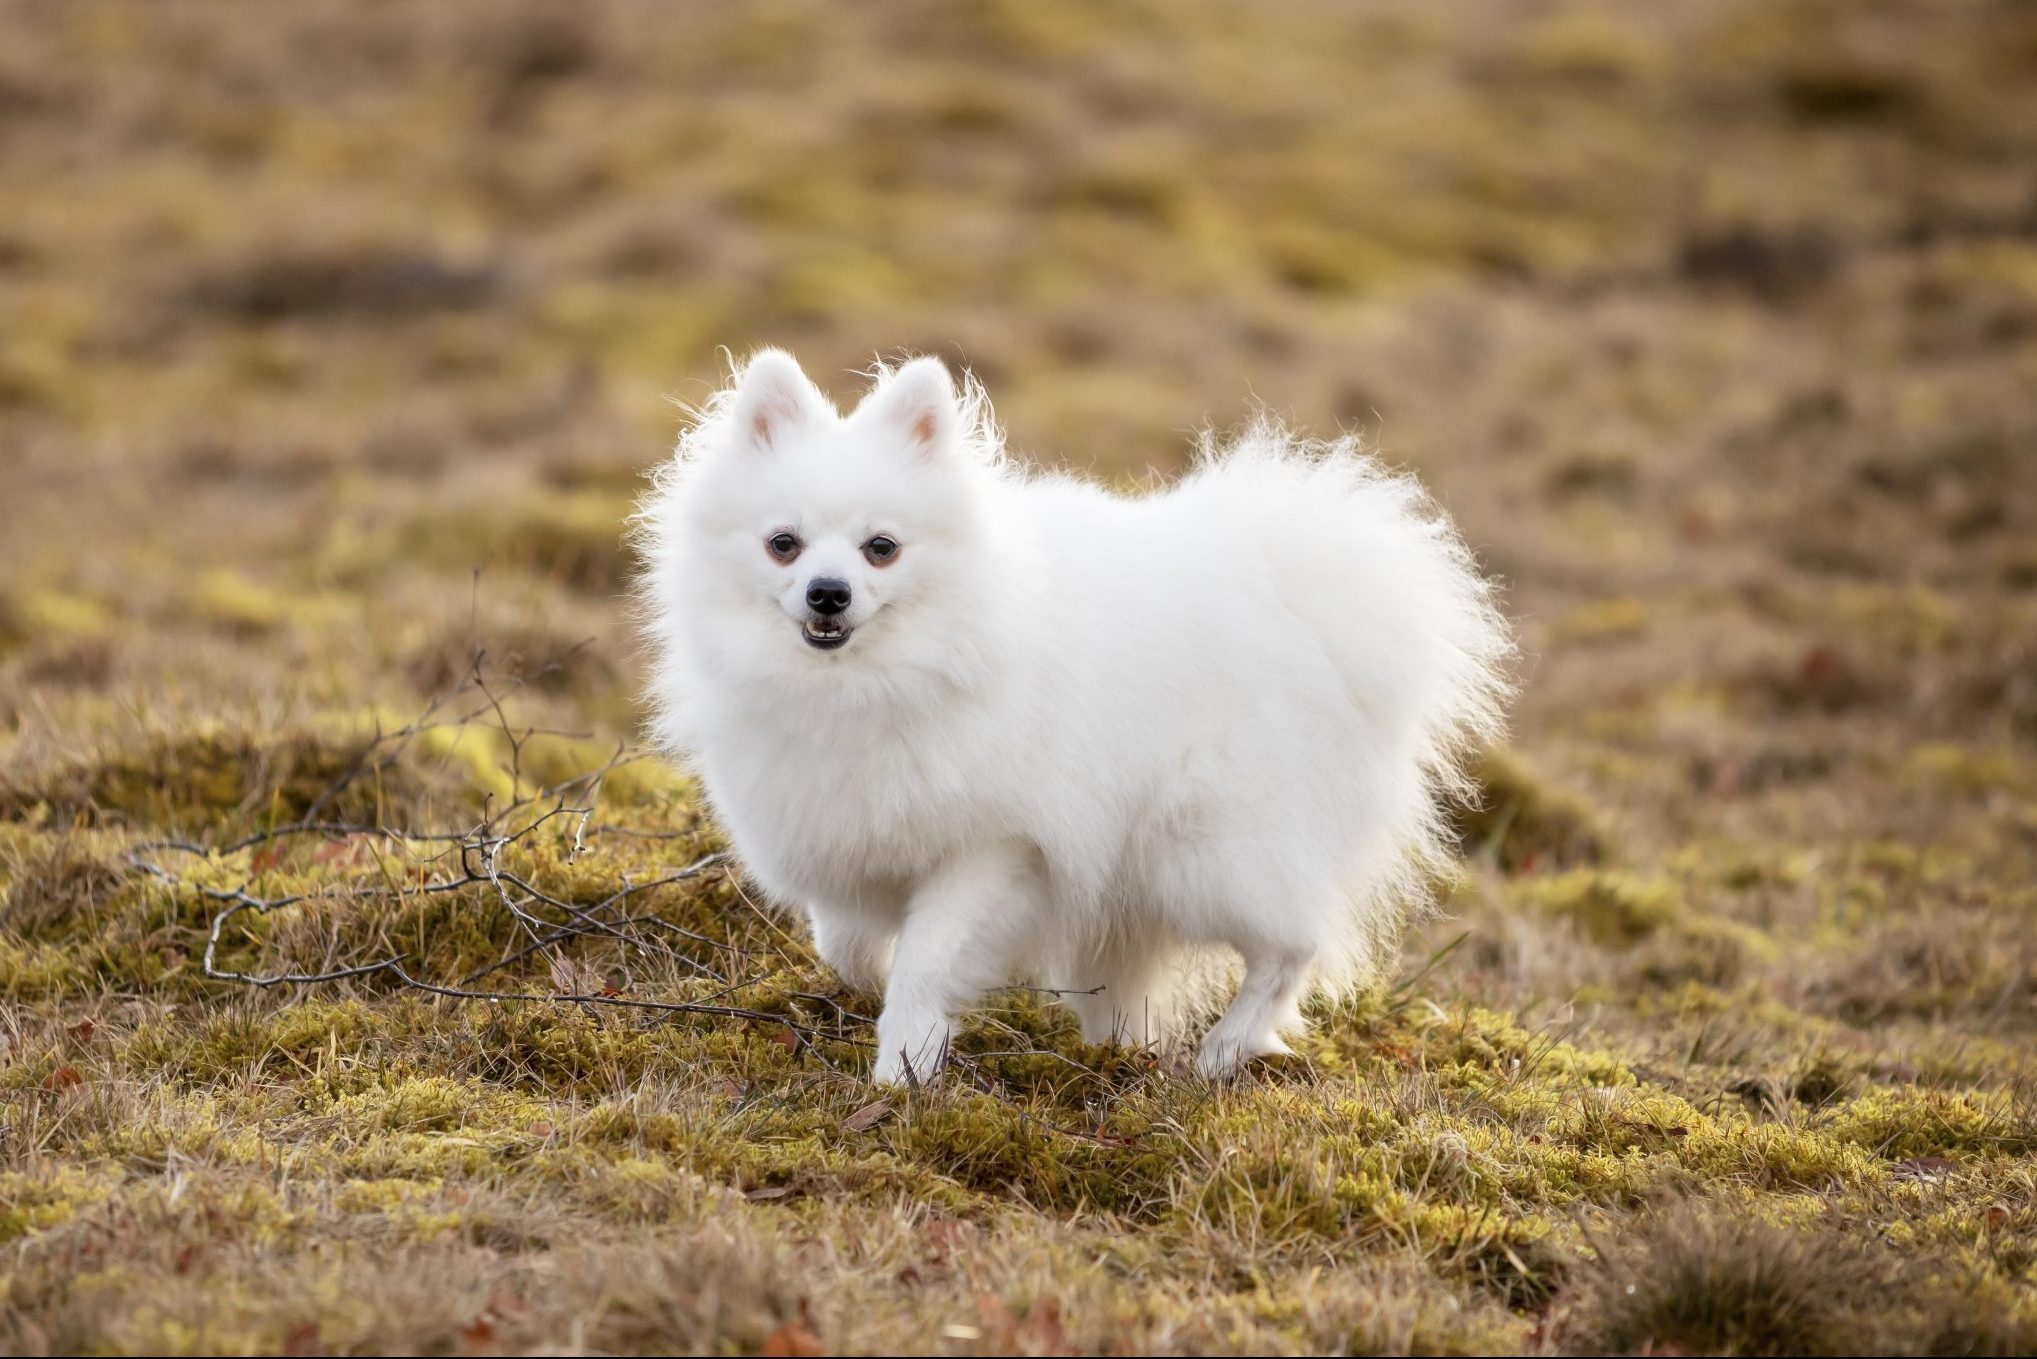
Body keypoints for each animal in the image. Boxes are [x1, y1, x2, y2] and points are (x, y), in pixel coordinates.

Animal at [635, 350, 1515, 1083]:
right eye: (783, 543)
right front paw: (880, 1002)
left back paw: (1221, 1051)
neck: (879, 681)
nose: (828, 593)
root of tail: (1294, 588)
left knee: (1291, 945)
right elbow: (847, 944)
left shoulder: (994, 849)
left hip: (1204, 847)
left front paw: (903, 1070)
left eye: (880, 547)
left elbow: (927, 961)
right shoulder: (846, 831)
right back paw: (1121, 1050)